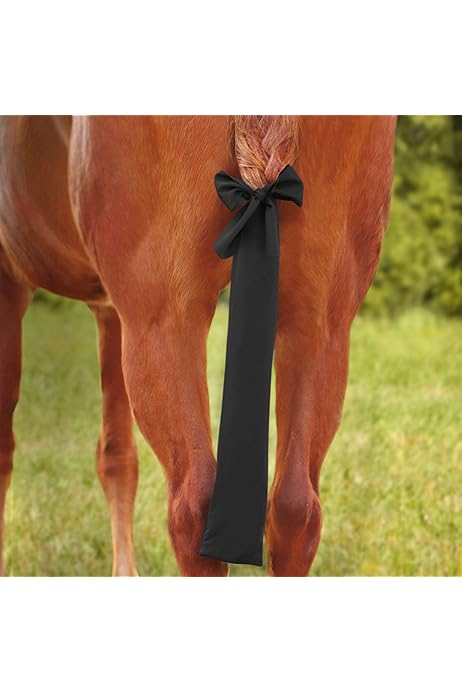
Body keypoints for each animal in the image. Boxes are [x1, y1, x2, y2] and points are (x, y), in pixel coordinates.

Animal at [0, 115, 396, 576]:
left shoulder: (14, 288)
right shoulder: (111, 312)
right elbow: (117, 456)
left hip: (163, 322)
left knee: (193, 507)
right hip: (319, 325)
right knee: (296, 509)